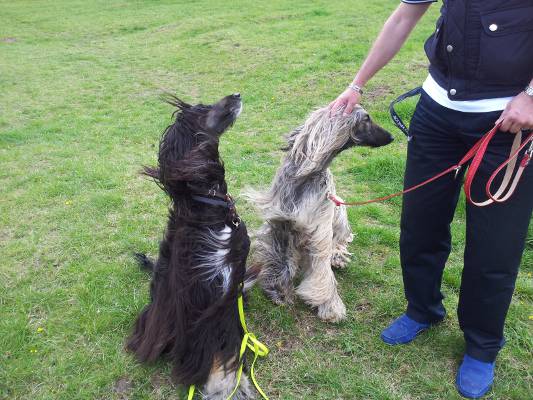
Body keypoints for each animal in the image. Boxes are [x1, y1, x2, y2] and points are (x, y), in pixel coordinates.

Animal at [127, 93, 257, 399]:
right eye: (202, 110)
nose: (236, 95)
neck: (210, 208)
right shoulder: (200, 298)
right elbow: (210, 347)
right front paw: (223, 384)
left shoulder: (230, 287)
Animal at [245, 105, 393, 322]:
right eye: (366, 119)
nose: (391, 136)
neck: (305, 177)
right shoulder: (281, 225)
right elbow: (282, 261)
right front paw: (279, 291)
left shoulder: (319, 230)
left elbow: (322, 270)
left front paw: (329, 304)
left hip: (339, 211)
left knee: (340, 240)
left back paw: (338, 257)